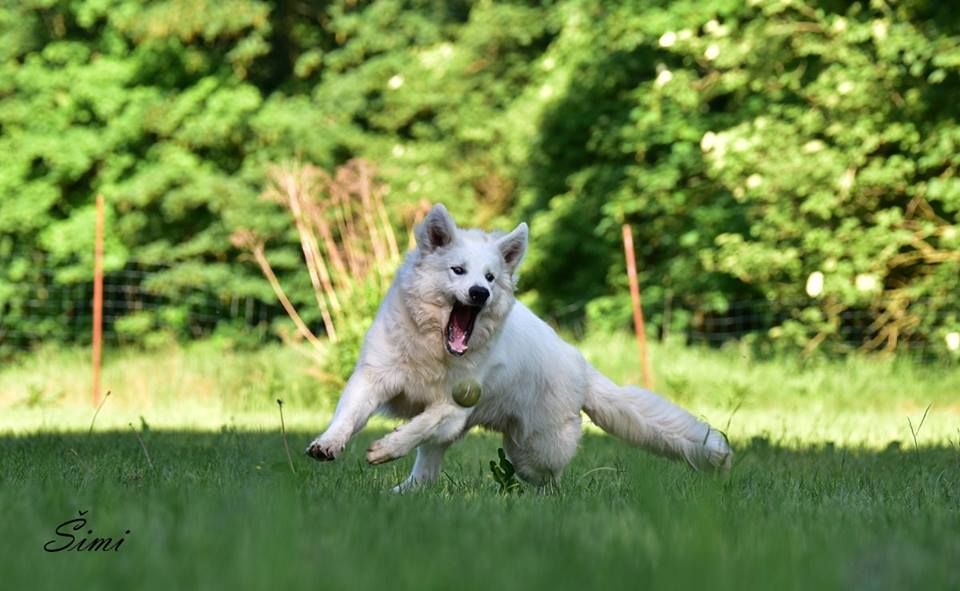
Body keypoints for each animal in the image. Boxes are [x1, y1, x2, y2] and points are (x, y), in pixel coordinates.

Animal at [306, 204, 728, 490]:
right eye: (458, 270)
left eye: (491, 277)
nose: (480, 292)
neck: (432, 347)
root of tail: (581, 366)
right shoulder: (374, 378)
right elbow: (348, 417)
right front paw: (327, 444)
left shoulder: (453, 408)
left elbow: (418, 426)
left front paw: (385, 448)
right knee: (426, 473)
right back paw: (403, 494)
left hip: (531, 451)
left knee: (549, 479)